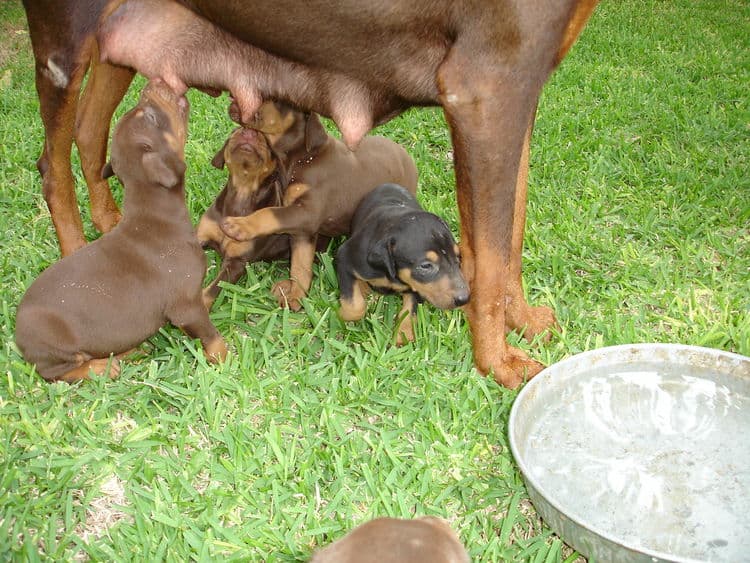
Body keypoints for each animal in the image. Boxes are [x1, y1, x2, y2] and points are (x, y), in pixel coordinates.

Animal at [14, 79, 226, 386]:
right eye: (150, 116)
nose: (152, 85)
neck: (154, 215)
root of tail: (18, 336)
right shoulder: (185, 305)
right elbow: (211, 336)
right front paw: (225, 358)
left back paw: (129, 352)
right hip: (57, 349)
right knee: (59, 372)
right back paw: (104, 367)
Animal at [336, 183, 468, 346]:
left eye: (458, 258)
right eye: (425, 266)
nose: (464, 299)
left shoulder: (418, 286)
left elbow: (409, 311)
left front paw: (403, 335)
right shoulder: (345, 258)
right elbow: (354, 305)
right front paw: (341, 315)